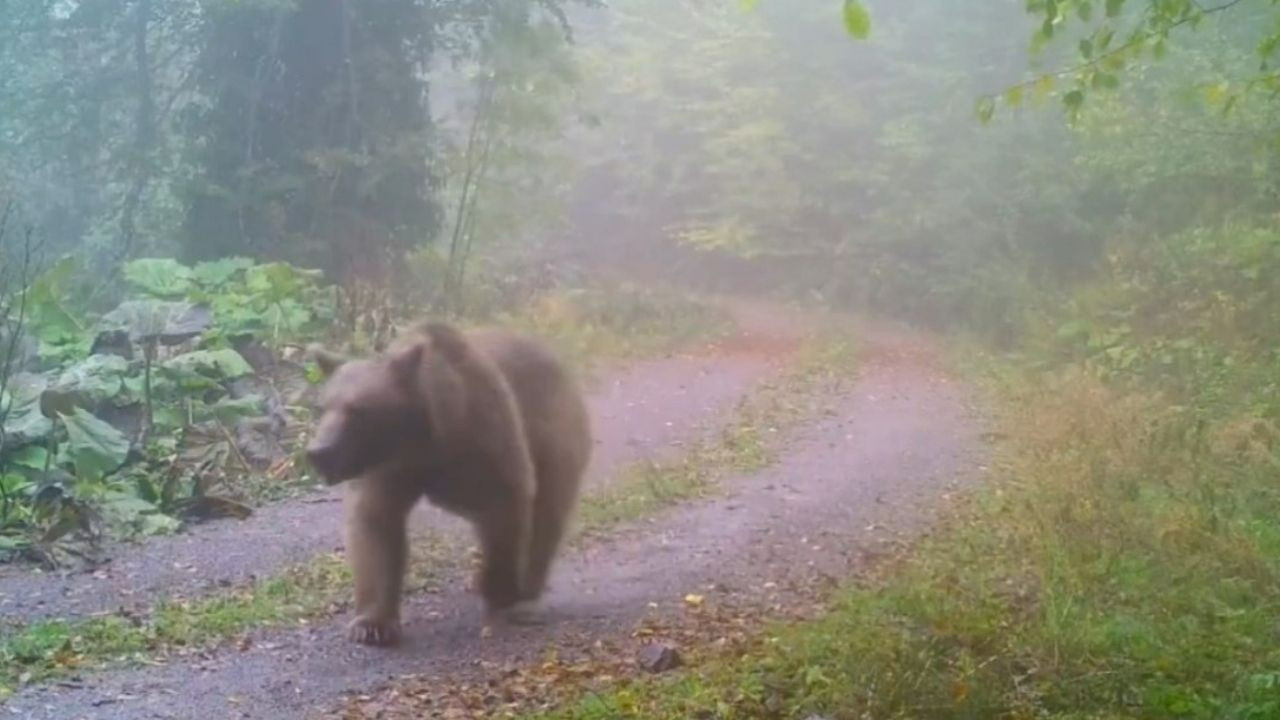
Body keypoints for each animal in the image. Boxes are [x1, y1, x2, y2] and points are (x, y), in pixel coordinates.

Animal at [307, 322, 591, 640]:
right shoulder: (389, 468)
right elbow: (375, 523)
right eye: (322, 407)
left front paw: (499, 592)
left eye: (357, 409)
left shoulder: (485, 440)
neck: (424, 441)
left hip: (554, 433)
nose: (318, 452)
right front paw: (372, 625)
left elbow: (507, 502)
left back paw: (526, 598)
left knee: (547, 513)